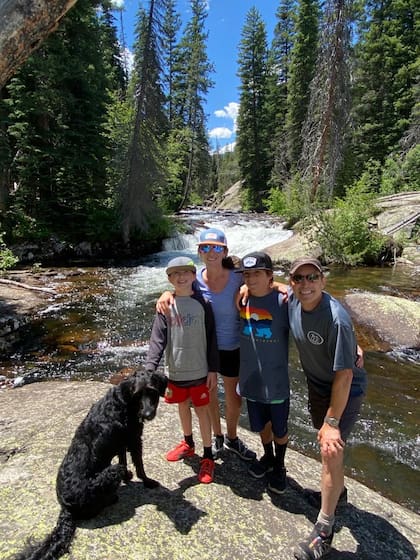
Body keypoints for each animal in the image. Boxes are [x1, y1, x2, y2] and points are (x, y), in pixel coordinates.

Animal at [14, 370, 169, 556]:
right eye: (138, 395)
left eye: (153, 392)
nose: (147, 414)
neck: (122, 401)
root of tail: (67, 509)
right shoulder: (134, 439)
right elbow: (139, 465)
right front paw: (147, 481)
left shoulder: (121, 442)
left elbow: (124, 459)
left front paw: (128, 476)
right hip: (110, 472)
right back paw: (113, 498)